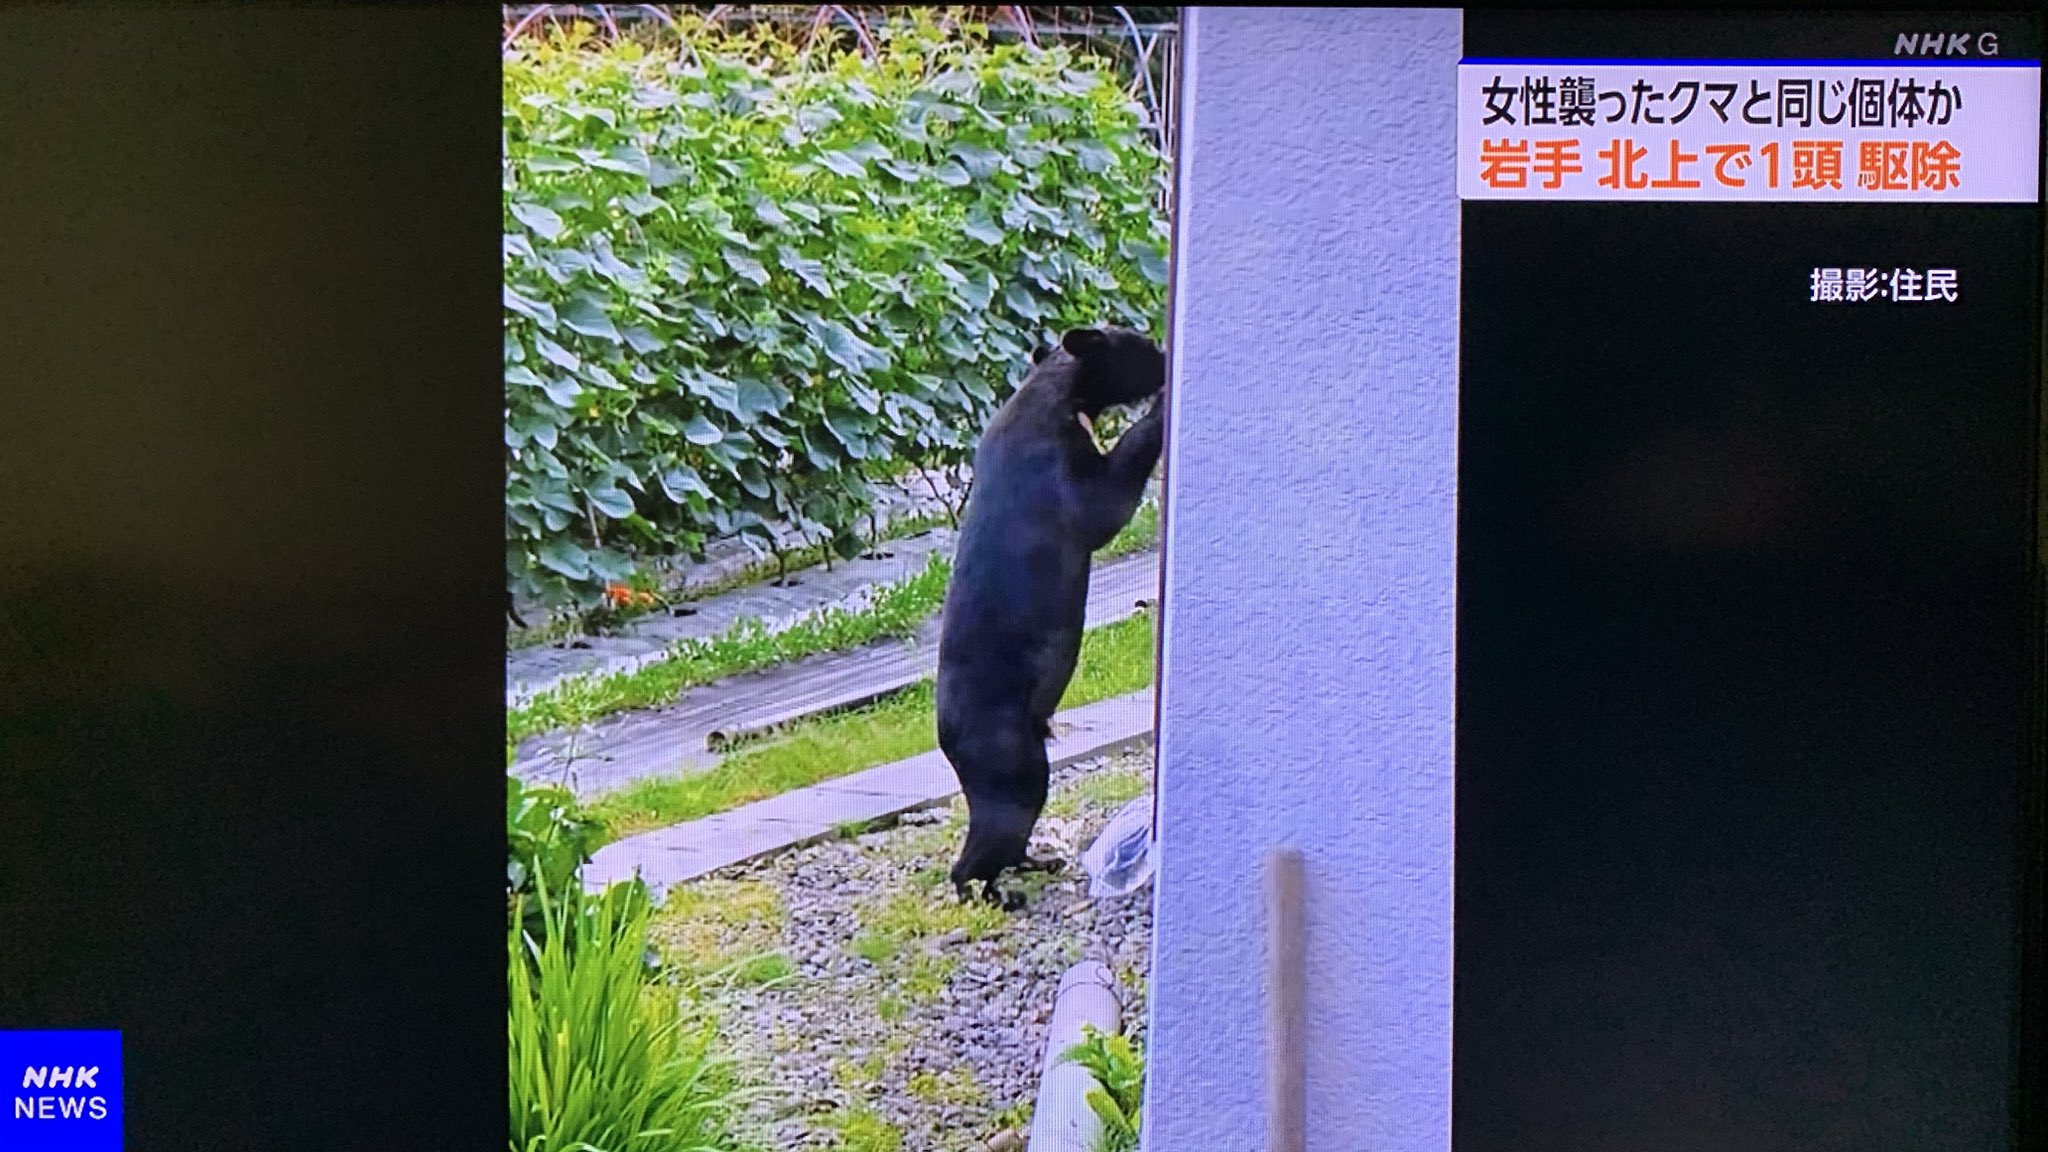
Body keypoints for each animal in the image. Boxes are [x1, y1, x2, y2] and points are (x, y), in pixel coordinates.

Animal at [935, 325, 1167, 910]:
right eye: (1139, 344)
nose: (1163, 354)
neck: (1058, 390)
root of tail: (947, 737)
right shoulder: (1087, 494)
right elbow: (1127, 457)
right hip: (1018, 771)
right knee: (975, 857)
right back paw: (996, 894)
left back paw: (1037, 864)